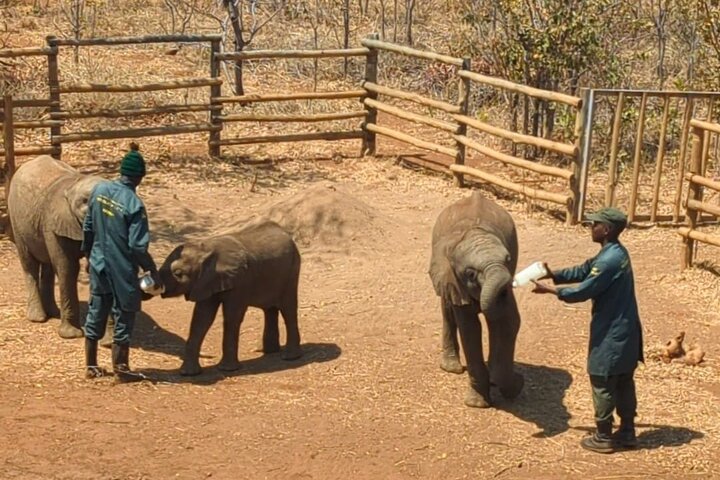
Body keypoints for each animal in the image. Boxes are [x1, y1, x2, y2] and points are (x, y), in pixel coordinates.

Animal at [7, 155, 105, 338]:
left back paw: (53, 313)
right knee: (29, 263)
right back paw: (38, 317)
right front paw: (72, 335)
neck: (74, 184)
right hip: (17, 221)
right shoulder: (54, 222)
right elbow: (68, 267)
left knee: (48, 266)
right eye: (85, 202)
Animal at [159, 220, 303, 376]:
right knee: (269, 309)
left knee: (288, 309)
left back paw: (289, 357)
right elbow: (201, 318)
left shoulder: (240, 281)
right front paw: (188, 373)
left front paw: (227, 369)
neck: (206, 249)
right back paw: (267, 351)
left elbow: (232, 317)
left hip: (292, 270)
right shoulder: (204, 282)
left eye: (178, 273)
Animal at [429, 191, 524, 408]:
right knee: (448, 310)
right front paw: (478, 404)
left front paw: (504, 383)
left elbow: (506, 322)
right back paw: (452, 368)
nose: (521, 379)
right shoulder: (454, 279)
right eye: (470, 274)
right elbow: (470, 328)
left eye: (508, 260)